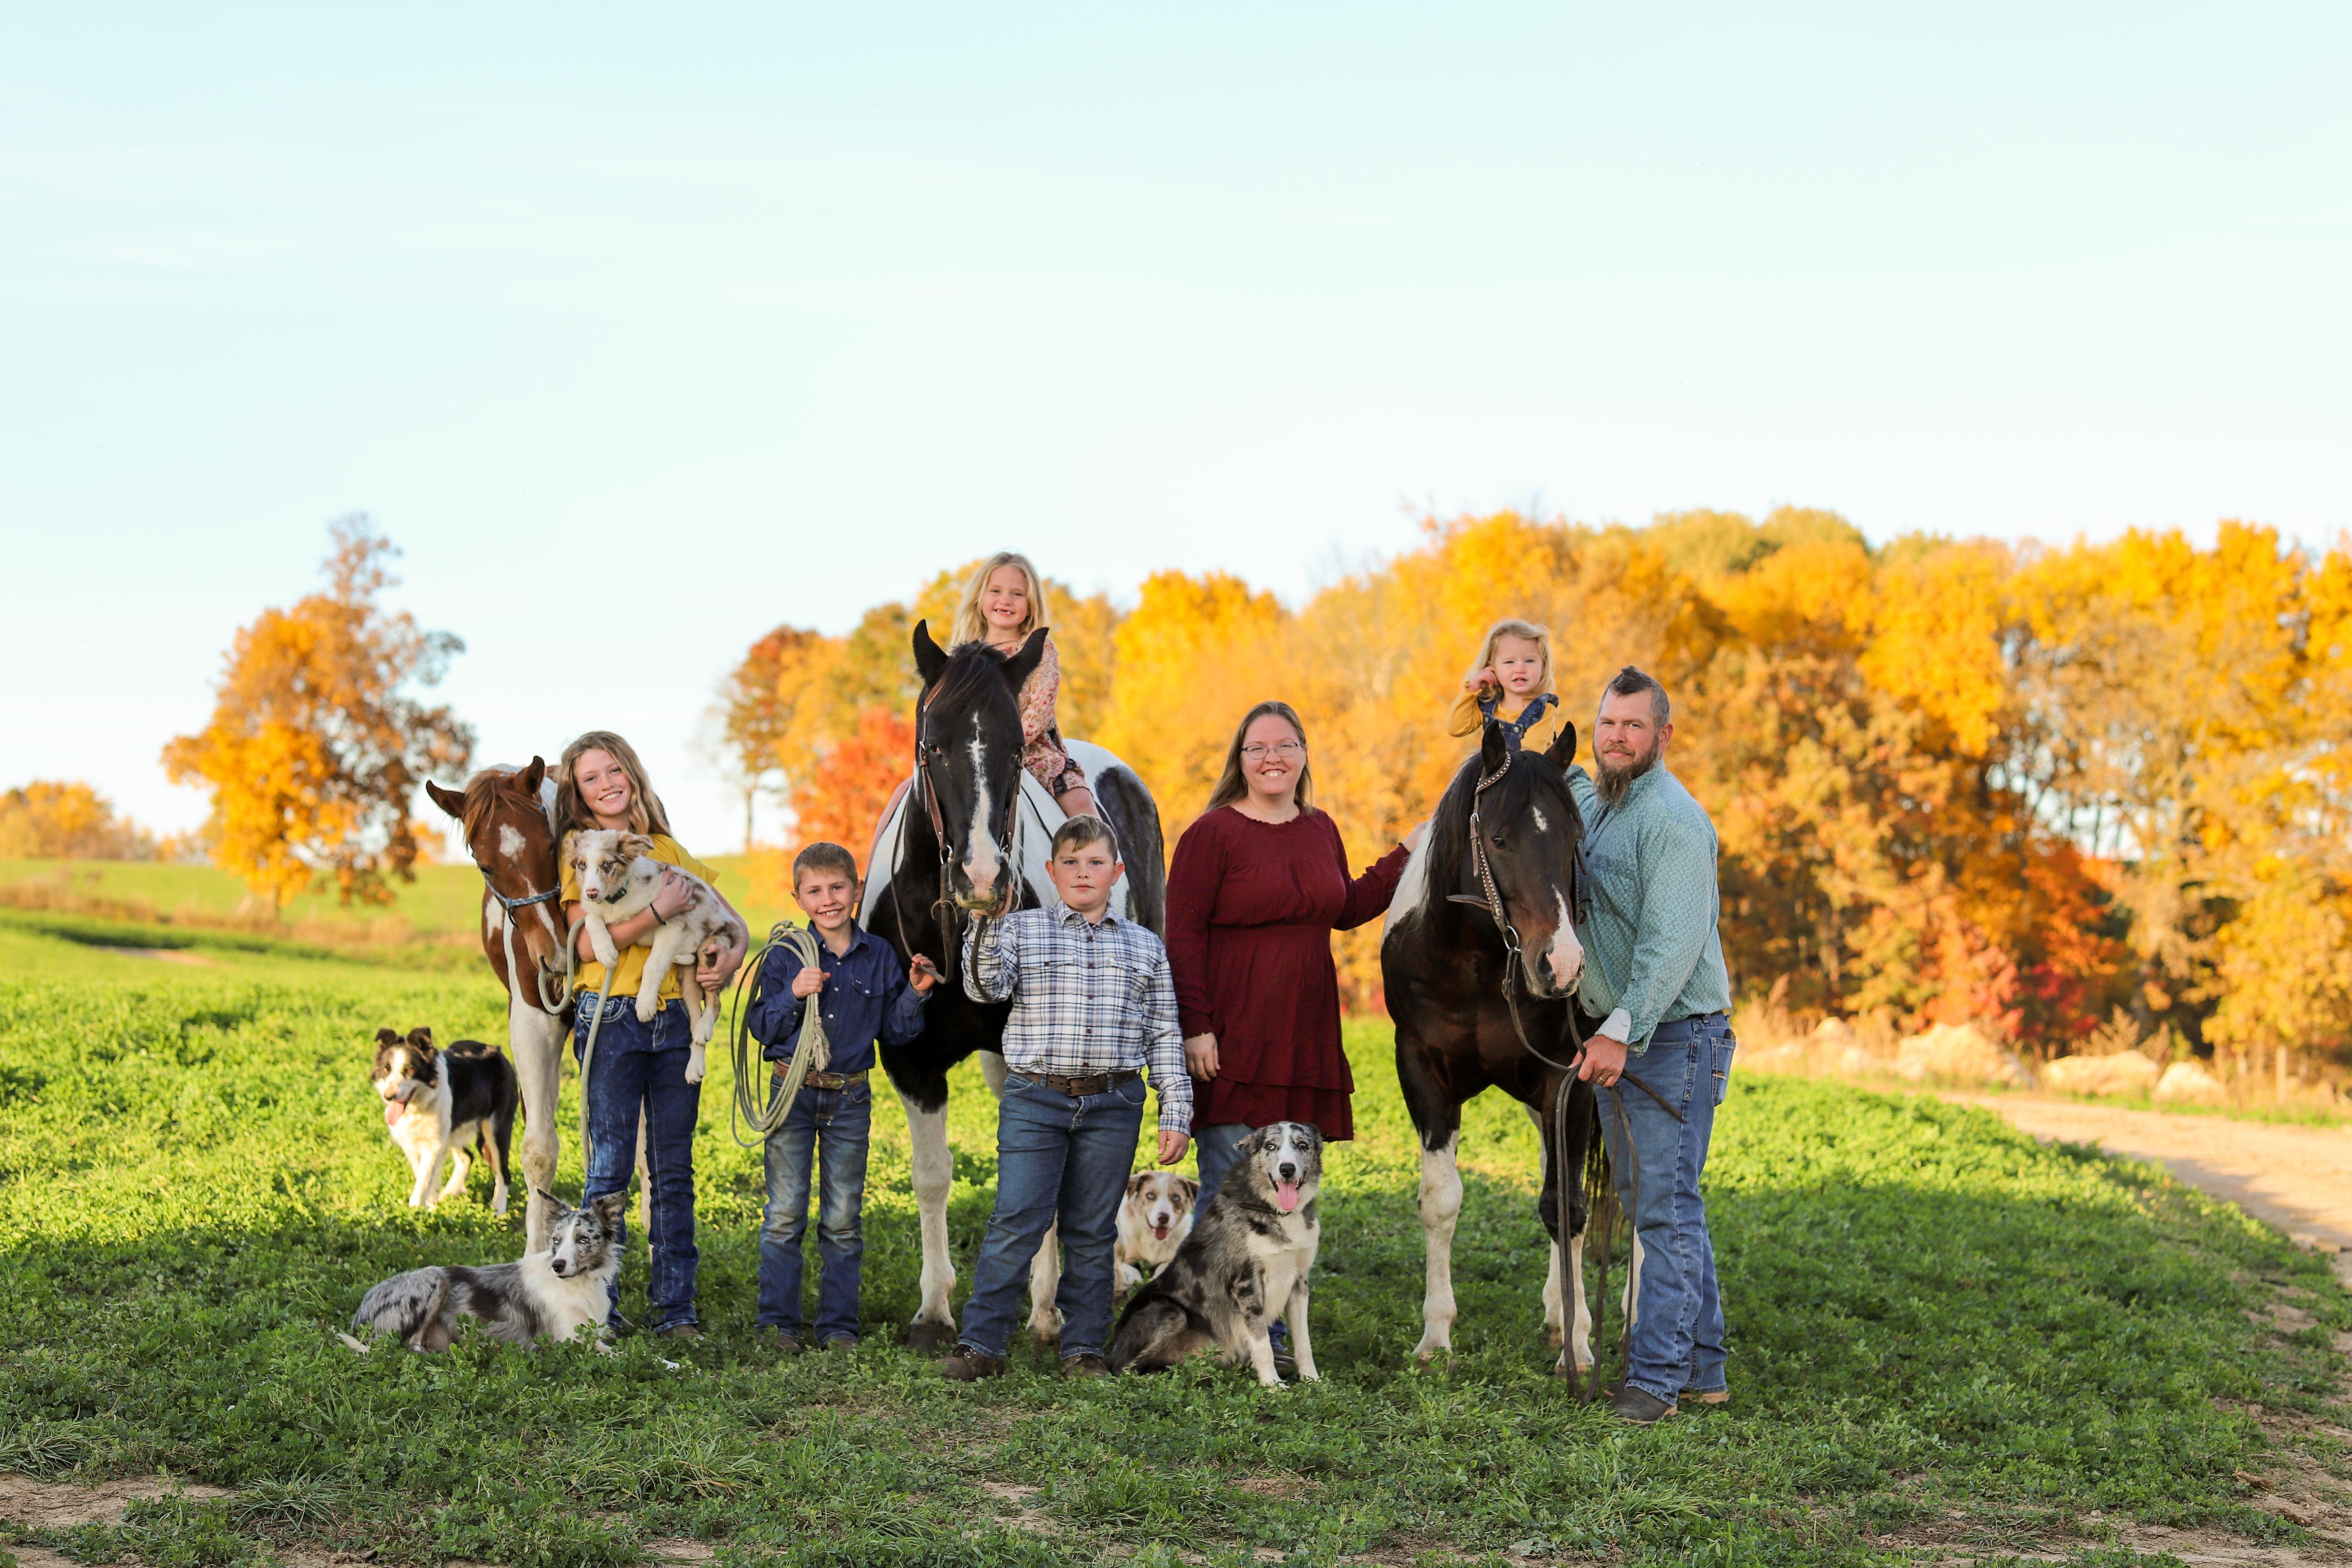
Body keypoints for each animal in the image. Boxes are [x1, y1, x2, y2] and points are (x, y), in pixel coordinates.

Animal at [351, 1189, 627, 1351]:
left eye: (583, 1240)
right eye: (556, 1241)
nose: (557, 1266)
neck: (580, 1285)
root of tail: (360, 1314)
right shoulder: (569, 1341)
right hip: (435, 1278)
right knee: (410, 1346)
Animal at [372, 1028, 520, 1213]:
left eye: (410, 1070)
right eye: (386, 1070)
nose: (389, 1097)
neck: (419, 1107)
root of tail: (499, 1052)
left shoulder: (434, 1144)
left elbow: (425, 1179)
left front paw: (416, 1210)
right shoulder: (410, 1143)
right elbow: (423, 1175)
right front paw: (431, 1206)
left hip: (496, 1127)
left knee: (504, 1172)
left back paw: (498, 1211)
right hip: (453, 1130)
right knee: (468, 1157)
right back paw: (449, 1193)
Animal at [562, 829, 747, 1083]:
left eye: (608, 864)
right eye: (582, 865)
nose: (591, 893)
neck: (619, 897)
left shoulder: (672, 923)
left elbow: (653, 964)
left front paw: (645, 1005)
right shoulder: (601, 913)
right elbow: (591, 918)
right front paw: (605, 951)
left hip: (711, 948)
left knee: (714, 1003)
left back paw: (704, 1029)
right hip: (688, 982)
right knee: (695, 1018)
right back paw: (695, 1066)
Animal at [1114, 1170, 1198, 1297]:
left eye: (1176, 1198)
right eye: (1150, 1196)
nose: (1163, 1218)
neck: (1152, 1240)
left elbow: (1162, 1267)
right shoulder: (1125, 1259)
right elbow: (1132, 1272)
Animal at [1380, 716, 1604, 1377]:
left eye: (1573, 838)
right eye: (1500, 840)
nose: (1562, 964)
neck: (1478, 963)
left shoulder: (1569, 1081)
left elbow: (1568, 1208)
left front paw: (1579, 1346)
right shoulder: (1422, 1073)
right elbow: (1441, 1200)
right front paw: (1435, 1337)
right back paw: (1556, 1308)